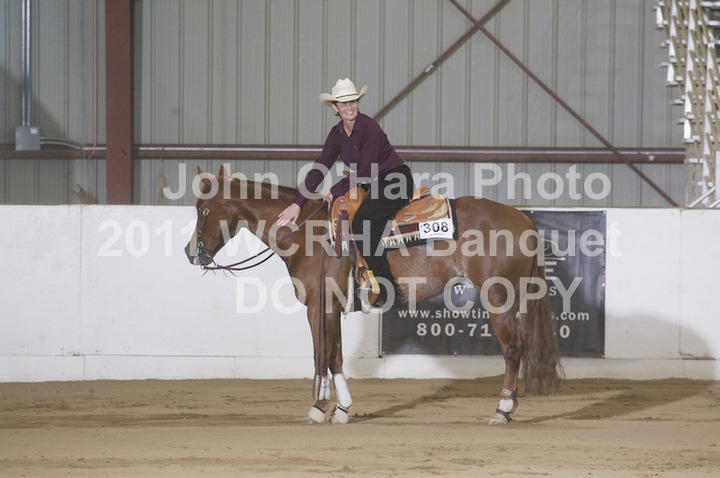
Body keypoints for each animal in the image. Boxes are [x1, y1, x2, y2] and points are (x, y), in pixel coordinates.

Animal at [185, 166, 562, 425]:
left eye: (203, 209)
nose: (191, 252)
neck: (307, 232)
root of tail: (525, 221)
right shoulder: (332, 306)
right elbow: (335, 356)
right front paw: (341, 409)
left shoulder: (317, 306)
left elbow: (321, 355)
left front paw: (317, 408)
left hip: (498, 298)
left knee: (513, 349)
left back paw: (502, 409)